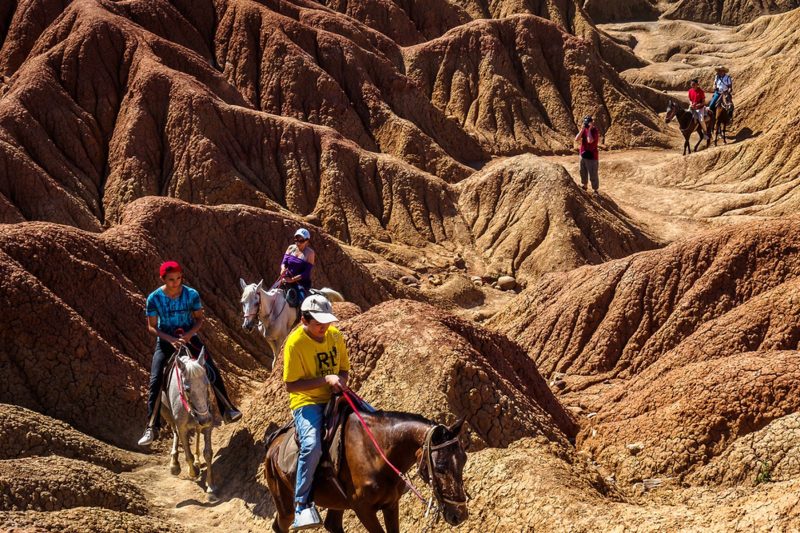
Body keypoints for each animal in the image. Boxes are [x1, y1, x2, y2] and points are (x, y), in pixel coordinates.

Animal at [159, 348, 217, 492]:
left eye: (207, 384)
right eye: (187, 389)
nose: (205, 418)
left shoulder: (207, 424)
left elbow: (208, 453)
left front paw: (211, 485)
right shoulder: (182, 428)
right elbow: (187, 453)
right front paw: (193, 471)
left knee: (197, 433)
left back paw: (196, 460)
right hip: (166, 413)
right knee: (175, 432)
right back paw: (174, 464)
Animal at [266, 412, 468, 532]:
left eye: (464, 460)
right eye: (440, 466)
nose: (460, 515)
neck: (375, 454)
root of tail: (273, 446)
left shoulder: (391, 504)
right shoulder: (363, 510)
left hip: (336, 502)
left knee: (332, 524)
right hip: (285, 507)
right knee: (279, 526)